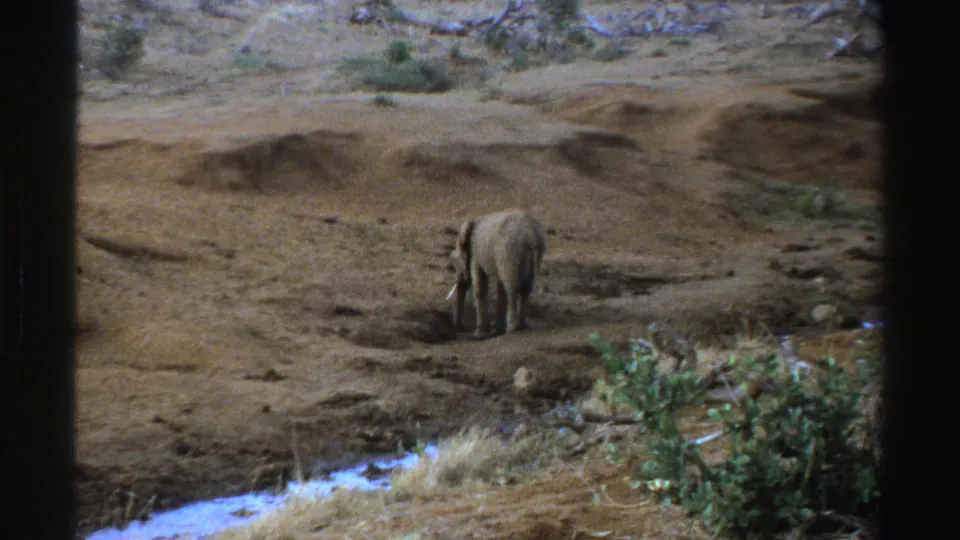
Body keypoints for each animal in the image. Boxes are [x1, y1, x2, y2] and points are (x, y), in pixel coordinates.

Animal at [448, 208, 546, 338]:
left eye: (454, 262)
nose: (460, 329)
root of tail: (531, 235)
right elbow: (499, 288)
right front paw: (496, 332)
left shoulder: (475, 253)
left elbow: (480, 285)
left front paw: (479, 335)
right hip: (530, 253)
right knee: (525, 289)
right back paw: (521, 326)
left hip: (509, 252)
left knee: (511, 288)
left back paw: (512, 328)